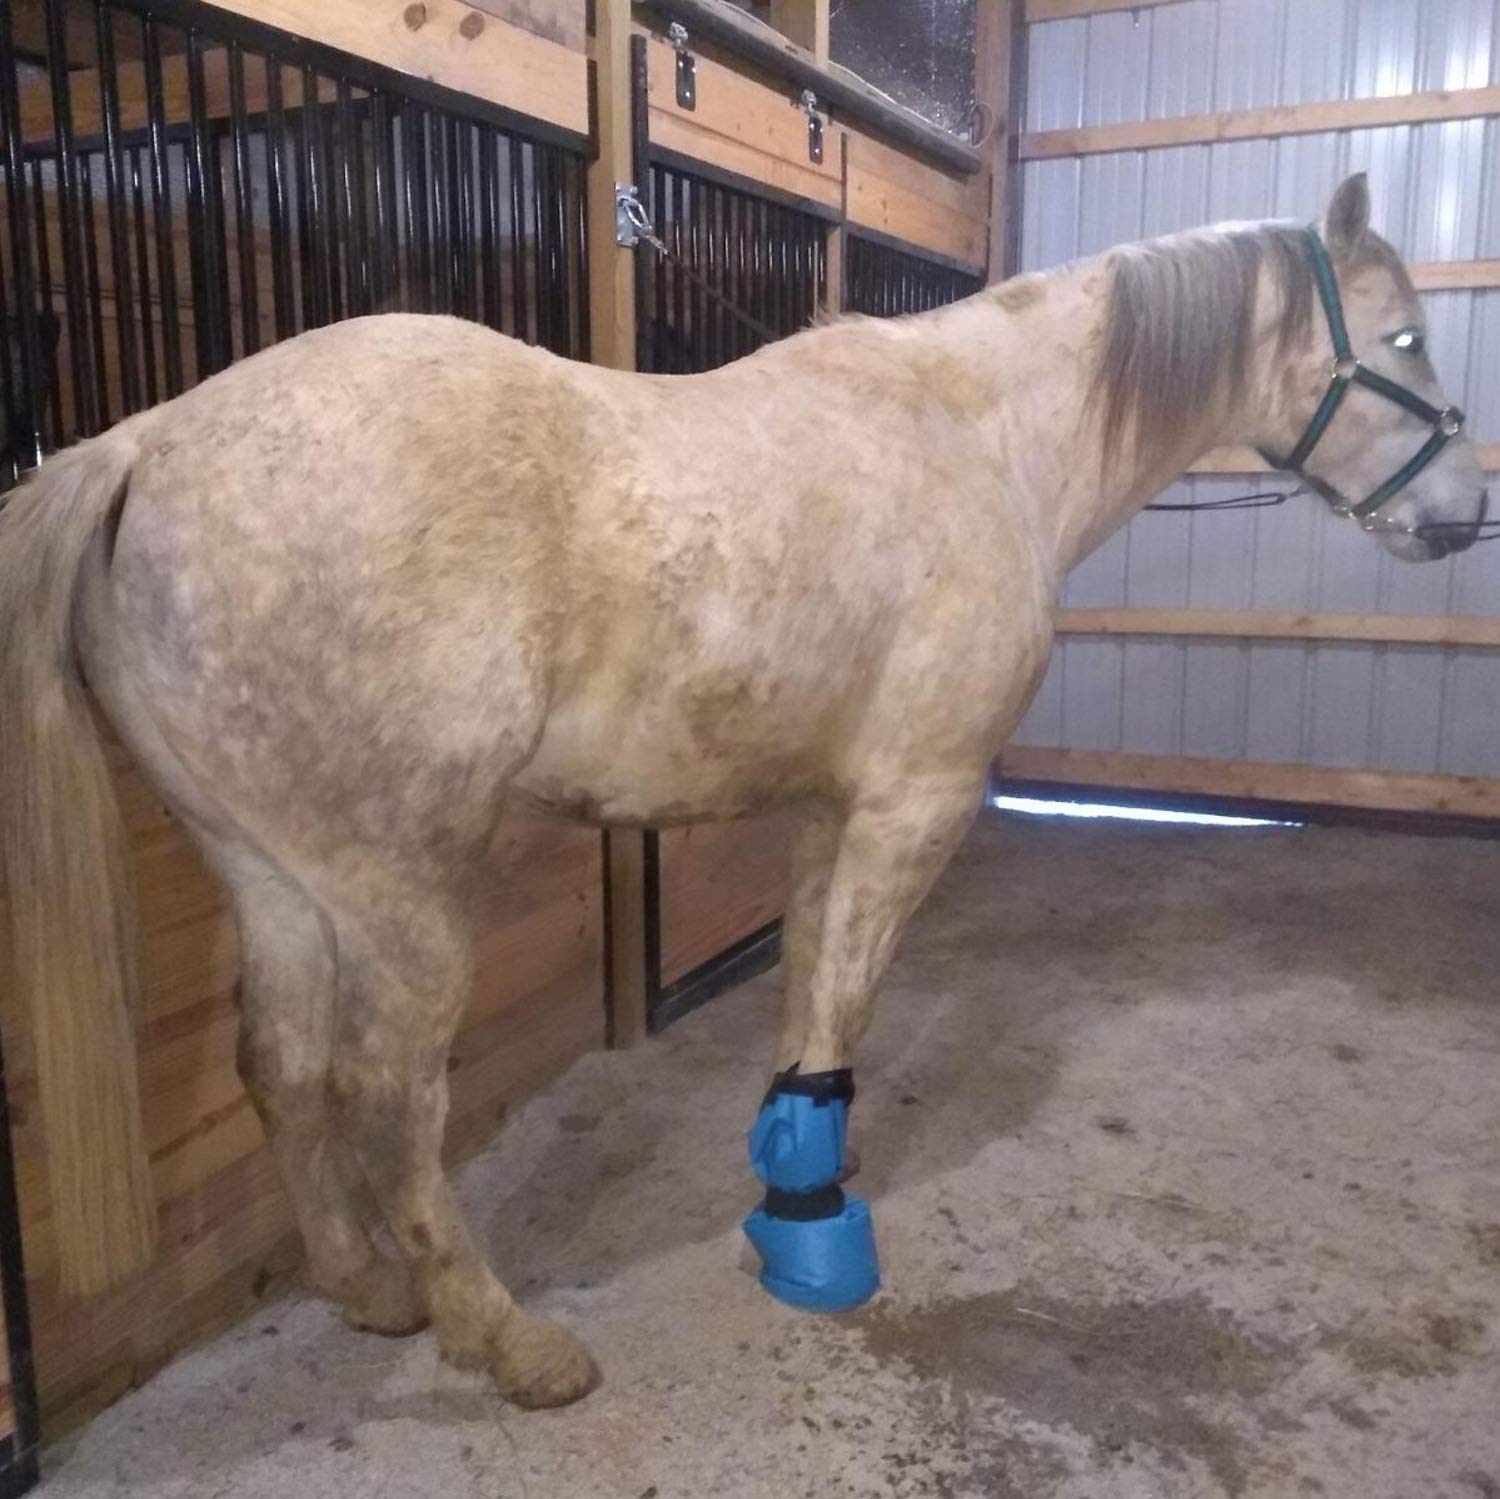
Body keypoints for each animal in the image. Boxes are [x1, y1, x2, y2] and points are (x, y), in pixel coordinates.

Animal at [0, 173, 1487, 1410]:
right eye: (1409, 340)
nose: (1462, 517)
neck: (986, 439)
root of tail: (146, 444)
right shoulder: (916, 801)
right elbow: (845, 998)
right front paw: (820, 1229)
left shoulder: (837, 806)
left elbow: (809, 987)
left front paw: (794, 1176)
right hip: (398, 883)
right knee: (389, 1094)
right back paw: (503, 1336)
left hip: (271, 871)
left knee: (282, 1063)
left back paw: (368, 1287)